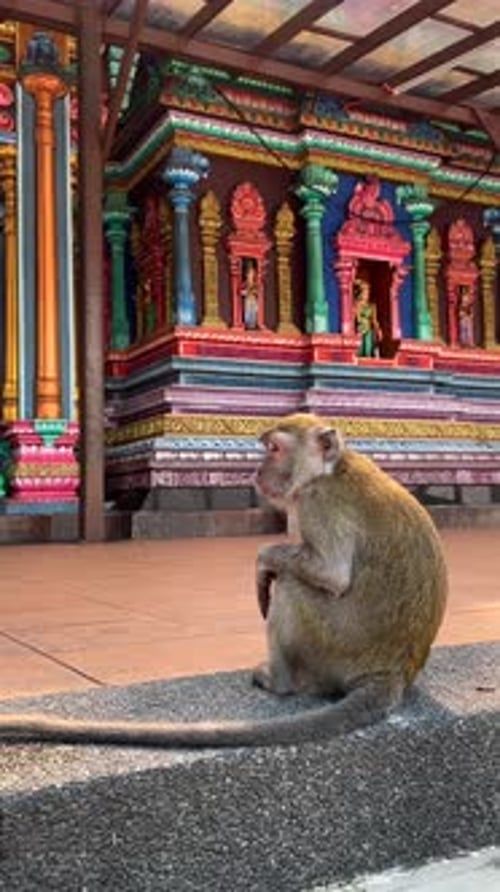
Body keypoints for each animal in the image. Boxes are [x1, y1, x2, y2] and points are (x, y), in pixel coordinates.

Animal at [0, 414, 447, 750]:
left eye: (274, 449)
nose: (256, 470)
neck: (328, 470)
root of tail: (392, 671)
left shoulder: (318, 503)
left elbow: (331, 574)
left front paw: (264, 560)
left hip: (334, 648)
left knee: (291, 589)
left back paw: (279, 681)